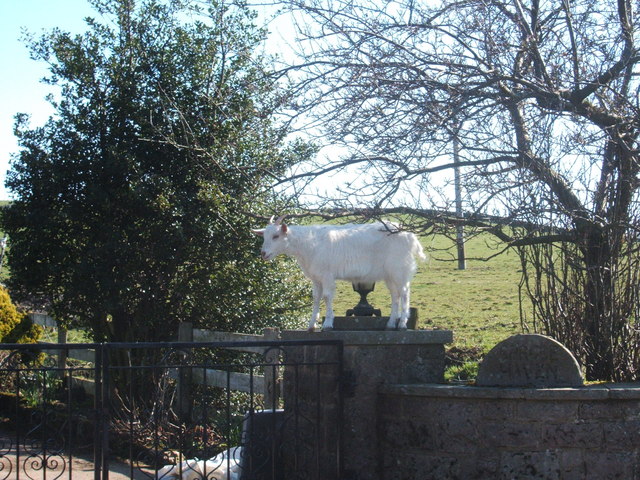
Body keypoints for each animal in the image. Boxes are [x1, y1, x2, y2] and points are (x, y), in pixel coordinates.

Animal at [252, 217, 428, 330]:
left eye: (276, 236)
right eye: (264, 236)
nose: (263, 253)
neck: (308, 244)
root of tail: (411, 236)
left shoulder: (327, 275)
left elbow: (327, 297)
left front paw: (328, 324)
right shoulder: (316, 278)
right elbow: (316, 297)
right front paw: (311, 324)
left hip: (399, 269)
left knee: (404, 293)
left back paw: (402, 323)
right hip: (390, 275)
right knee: (395, 295)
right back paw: (391, 323)